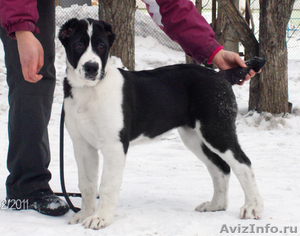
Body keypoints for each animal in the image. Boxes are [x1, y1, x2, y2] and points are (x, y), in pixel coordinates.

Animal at [58, 18, 264, 230]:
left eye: (101, 46)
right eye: (78, 45)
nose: (92, 67)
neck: (89, 91)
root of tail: (221, 75)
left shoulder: (114, 145)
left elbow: (107, 185)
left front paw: (101, 218)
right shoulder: (82, 145)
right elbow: (87, 183)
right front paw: (84, 214)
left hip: (216, 129)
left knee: (243, 164)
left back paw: (252, 207)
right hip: (195, 137)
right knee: (220, 168)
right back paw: (216, 205)